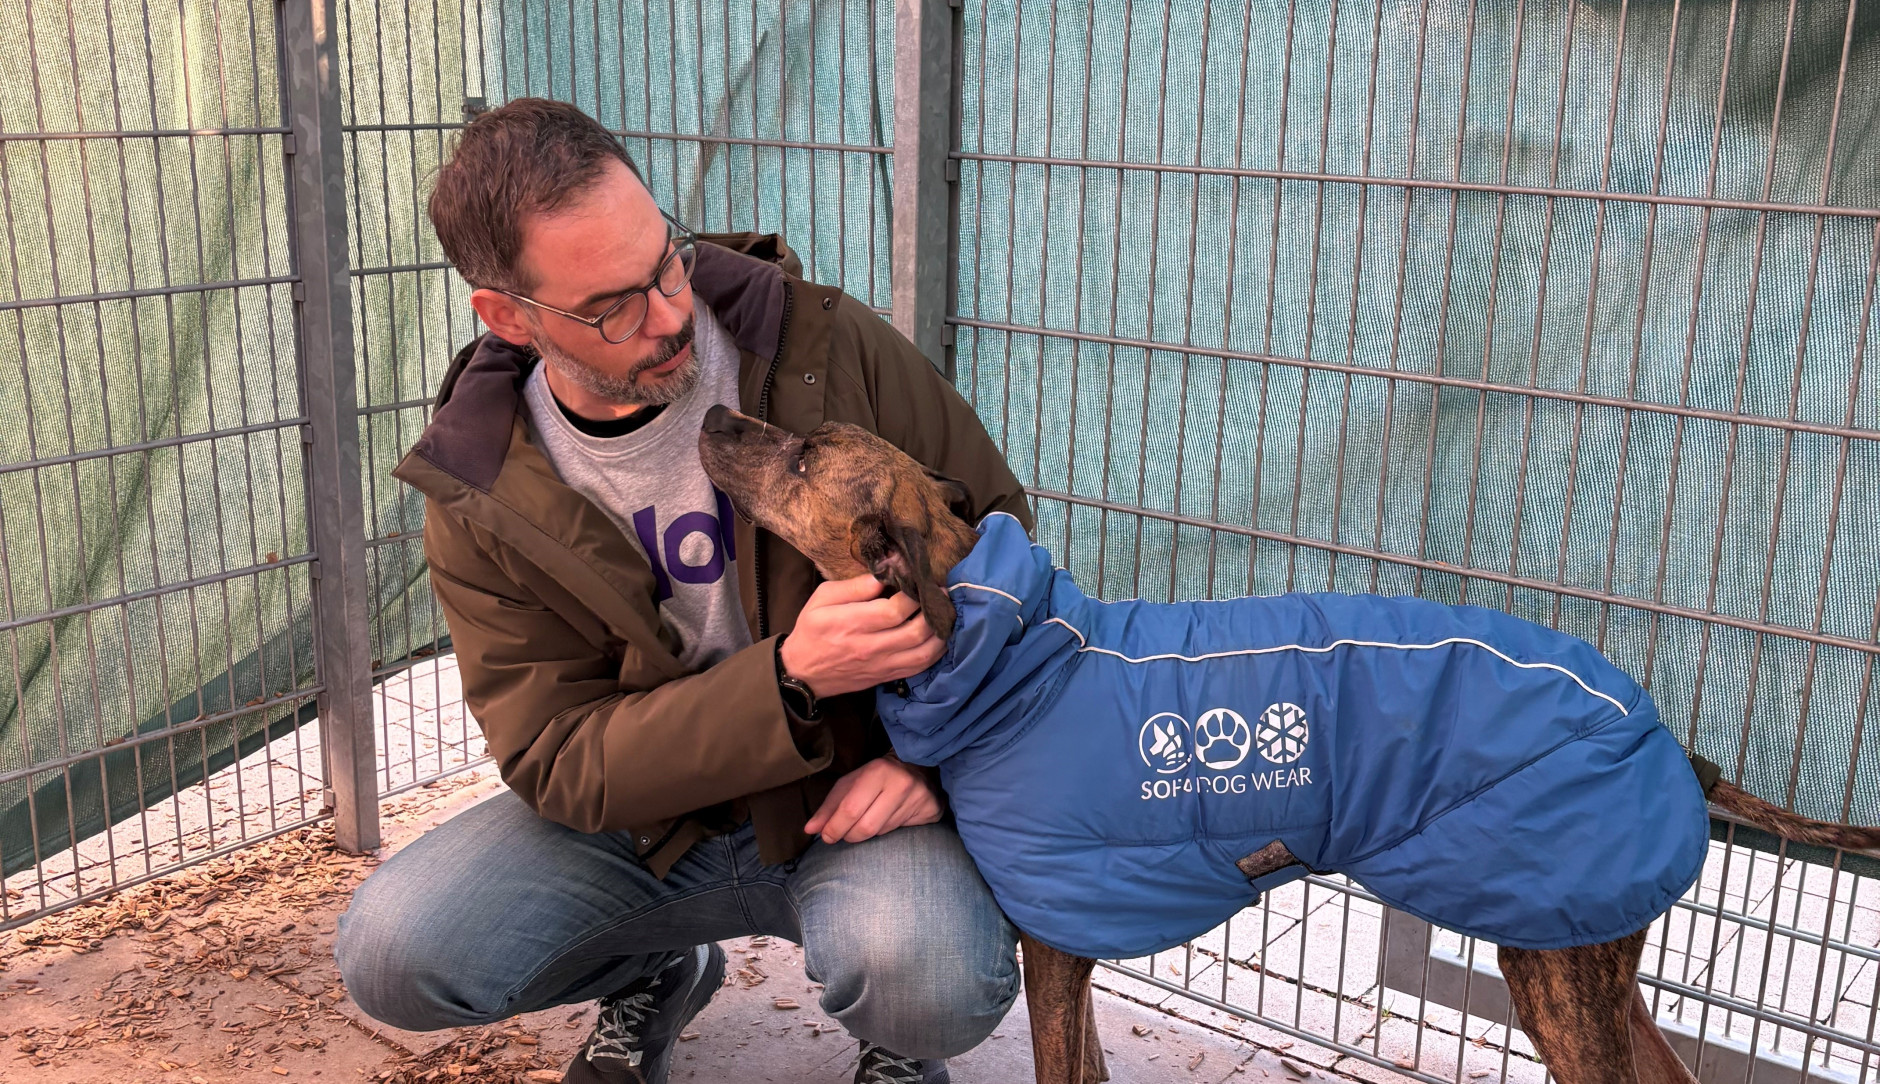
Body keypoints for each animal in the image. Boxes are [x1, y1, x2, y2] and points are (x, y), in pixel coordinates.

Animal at [699, 403, 1880, 1082]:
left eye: (803, 452)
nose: (710, 410)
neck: (1013, 652)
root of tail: (1672, 737)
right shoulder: (1068, 957)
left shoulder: (1055, 951)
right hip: (1583, 955)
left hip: (1552, 965)